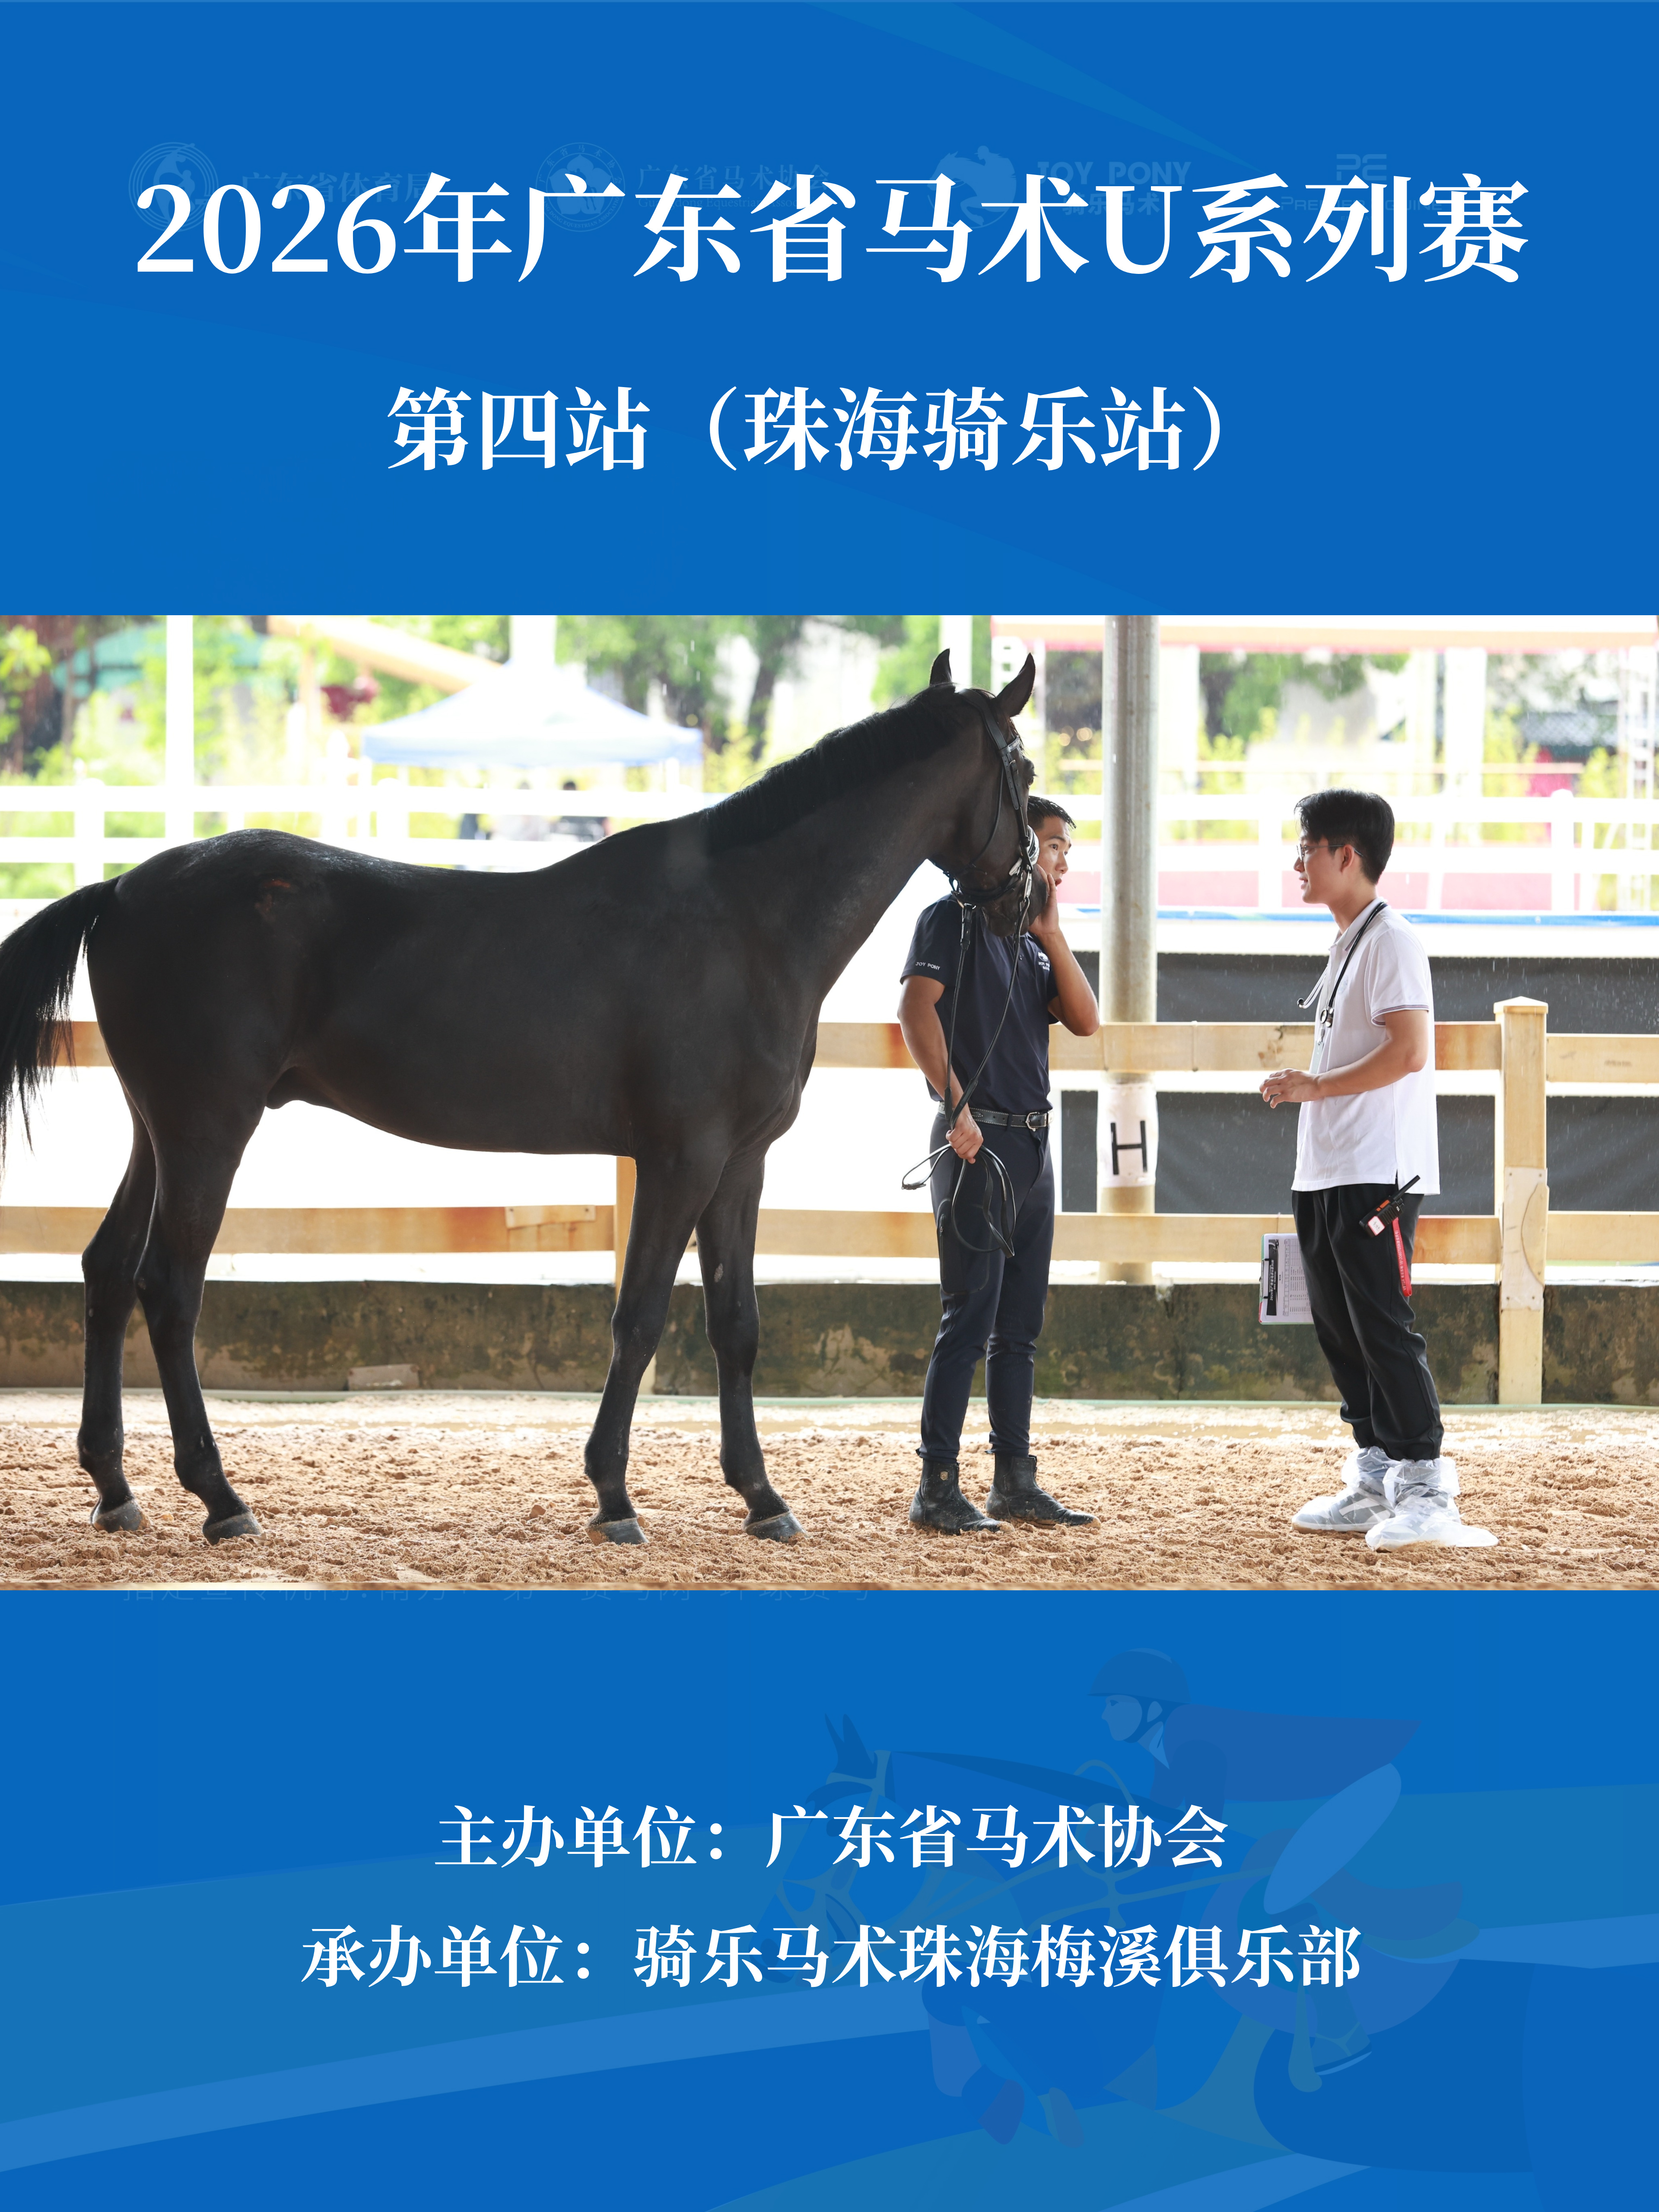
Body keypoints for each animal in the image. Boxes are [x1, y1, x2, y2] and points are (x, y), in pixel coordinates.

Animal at [0, 649, 1040, 1548]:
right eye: (1023, 766)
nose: (1025, 898)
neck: (747, 920)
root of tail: (122, 889)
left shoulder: (741, 1162)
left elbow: (736, 1326)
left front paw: (762, 1498)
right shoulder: (680, 1158)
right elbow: (640, 1317)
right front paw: (615, 1496)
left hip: (159, 1131)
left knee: (105, 1272)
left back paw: (115, 1489)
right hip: (211, 1131)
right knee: (168, 1290)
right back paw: (219, 1498)